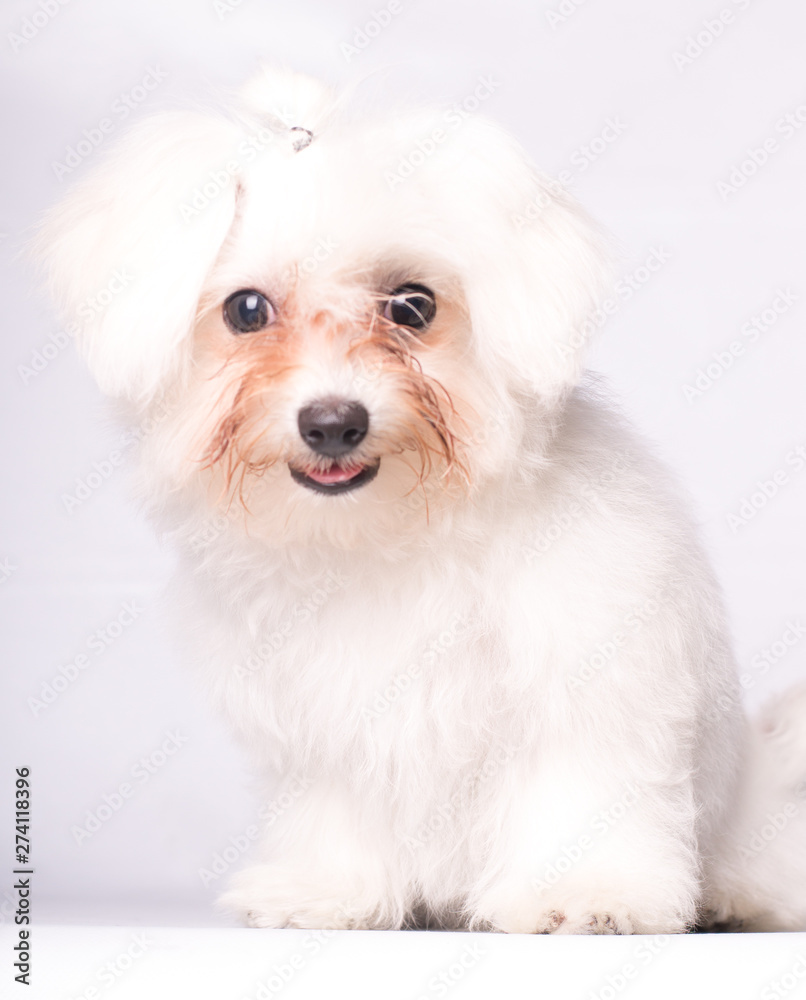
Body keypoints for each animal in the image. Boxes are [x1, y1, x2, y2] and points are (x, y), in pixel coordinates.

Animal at [39, 70, 806, 936]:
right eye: (247, 310)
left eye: (412, 306)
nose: (333, 422)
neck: (389, 536)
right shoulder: (324, 726)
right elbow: (336, 808)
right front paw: (324, 891)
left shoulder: (586, 682)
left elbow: (581, 791)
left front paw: (584, 895)